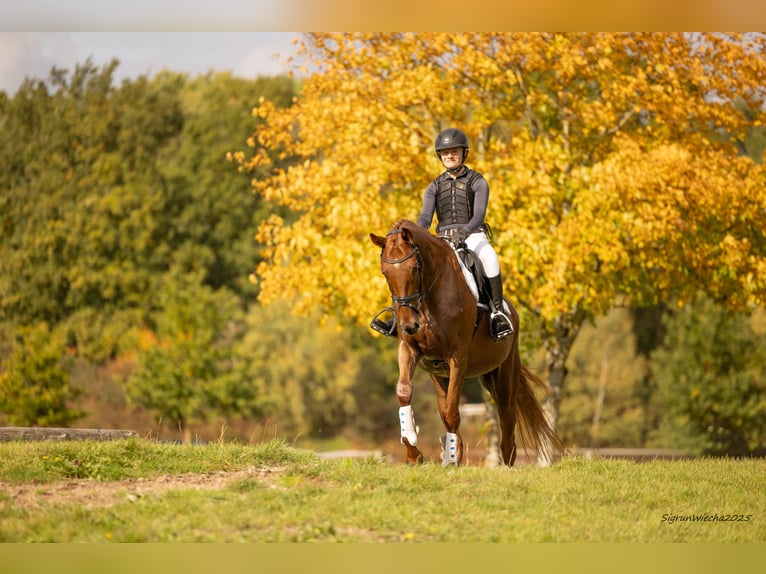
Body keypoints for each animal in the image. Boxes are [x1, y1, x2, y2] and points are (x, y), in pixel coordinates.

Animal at [369, 219, 563, 466]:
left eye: (414, 268)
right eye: (385, 273)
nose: (408, 326)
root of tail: (511, 309)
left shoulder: (458, 357)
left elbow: (453, 411)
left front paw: (452, 458)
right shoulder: (409, 349)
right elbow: (405, 392)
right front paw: (414, 453)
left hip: (503, 373)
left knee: (506, 415)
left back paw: (505, 461)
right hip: (441, 374)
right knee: (446, 408)